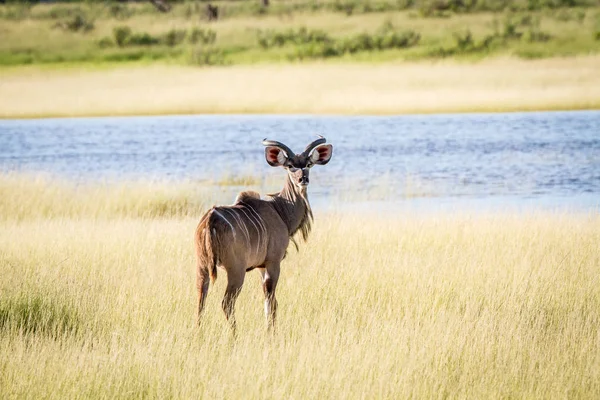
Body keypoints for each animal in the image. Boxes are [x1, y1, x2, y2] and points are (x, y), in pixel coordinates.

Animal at [195, 138, 332, 332]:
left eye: (308, 164)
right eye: (290, 166)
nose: (303, 179)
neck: (280, 209)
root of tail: (210, 219)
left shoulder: (261, 266)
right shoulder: (273, 263)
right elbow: (271, 301)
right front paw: (271, 332)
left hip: (202, 267)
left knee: (201, 300)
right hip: (236, 270)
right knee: (227, 302)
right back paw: (235, 334)